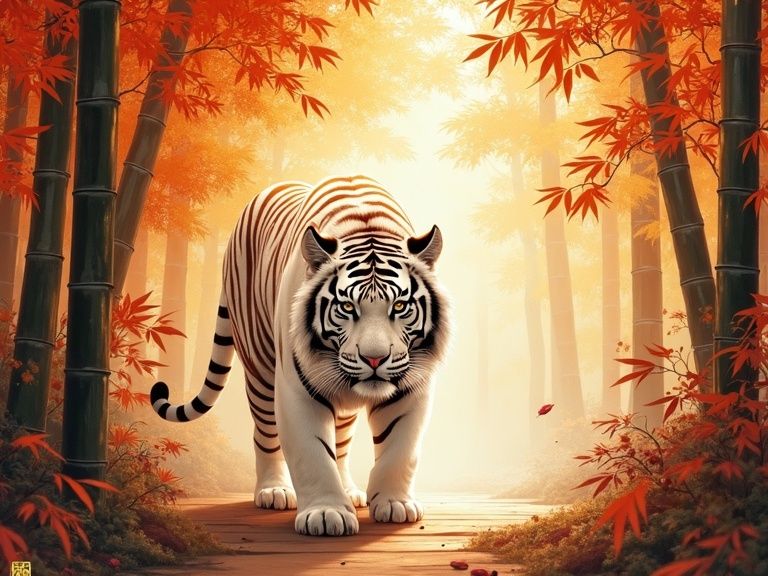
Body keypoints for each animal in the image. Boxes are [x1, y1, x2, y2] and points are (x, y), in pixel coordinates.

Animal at [150, 175, 449, 536]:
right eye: (346, 307)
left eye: (400, 306)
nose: (374, 359)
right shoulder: (297, 386)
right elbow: (312, 452)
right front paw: (326, 513)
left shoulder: (412, 385)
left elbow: (401, 449)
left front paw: (395, 504)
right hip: (260, 368)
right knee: (265, 434)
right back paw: (274, 490)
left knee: (342, 438)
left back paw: (349, 490)